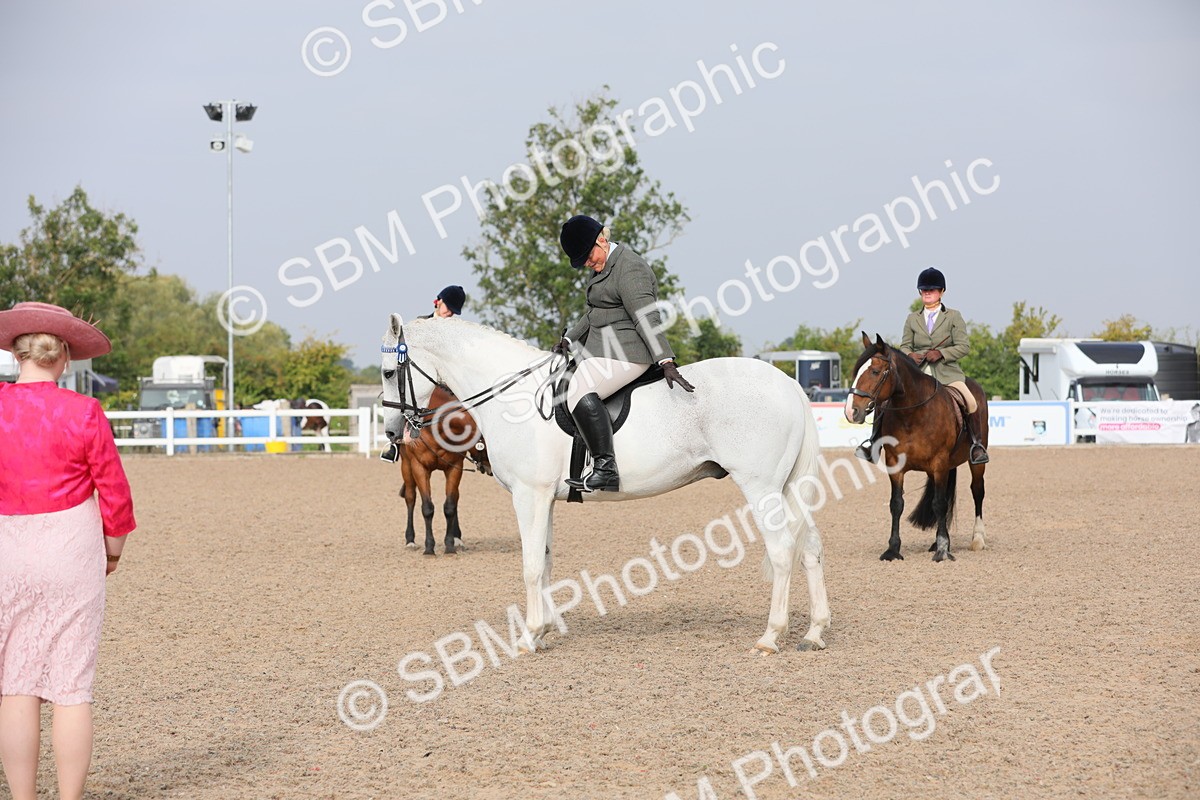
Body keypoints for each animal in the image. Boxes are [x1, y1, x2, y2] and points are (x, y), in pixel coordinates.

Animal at [396, 384, 492, 555]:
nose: (490, 467)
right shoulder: (419, 467)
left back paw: (457, 538)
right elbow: (427, 507)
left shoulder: (455, 468)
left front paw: (450, 545)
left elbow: (450, 505)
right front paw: (429, 548)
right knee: (410, 498)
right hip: (406, 466)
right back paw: (410, 540)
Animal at [844, 333, 988, 562]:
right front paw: (893, 550)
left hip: (975, 463)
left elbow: (939, 503)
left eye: (875, 371)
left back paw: (977, 539)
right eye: (856, 371)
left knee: (977, 491)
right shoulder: (895, 465)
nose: (851, 412)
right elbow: (897, 504)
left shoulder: (939, 464)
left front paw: (942, 551)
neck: (912, 414)